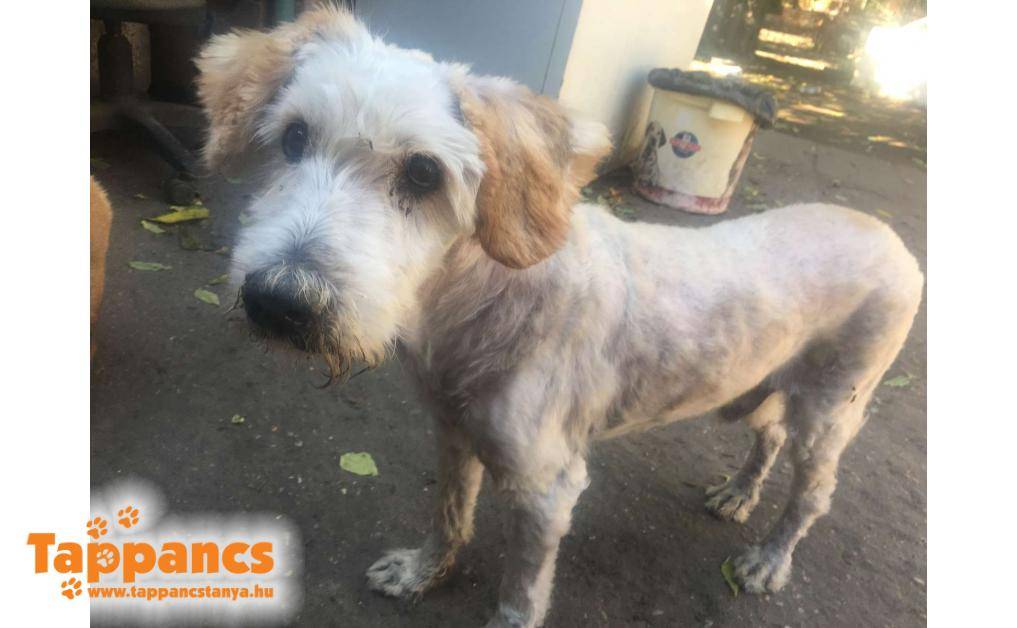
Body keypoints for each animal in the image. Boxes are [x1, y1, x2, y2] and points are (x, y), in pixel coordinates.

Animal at [196, 7, 923, 627]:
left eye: (424, 173)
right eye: (293, 137)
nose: (279, 302)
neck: (480, 305)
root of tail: (891, 238)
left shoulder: (548, 490)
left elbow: (520, 593)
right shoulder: (453, 434)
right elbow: (448, 515)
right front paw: (423, 572)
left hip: (828, 413)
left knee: (812, 495)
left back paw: (769, 559)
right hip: (763, 382)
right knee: (767, 434)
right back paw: (739, 494)